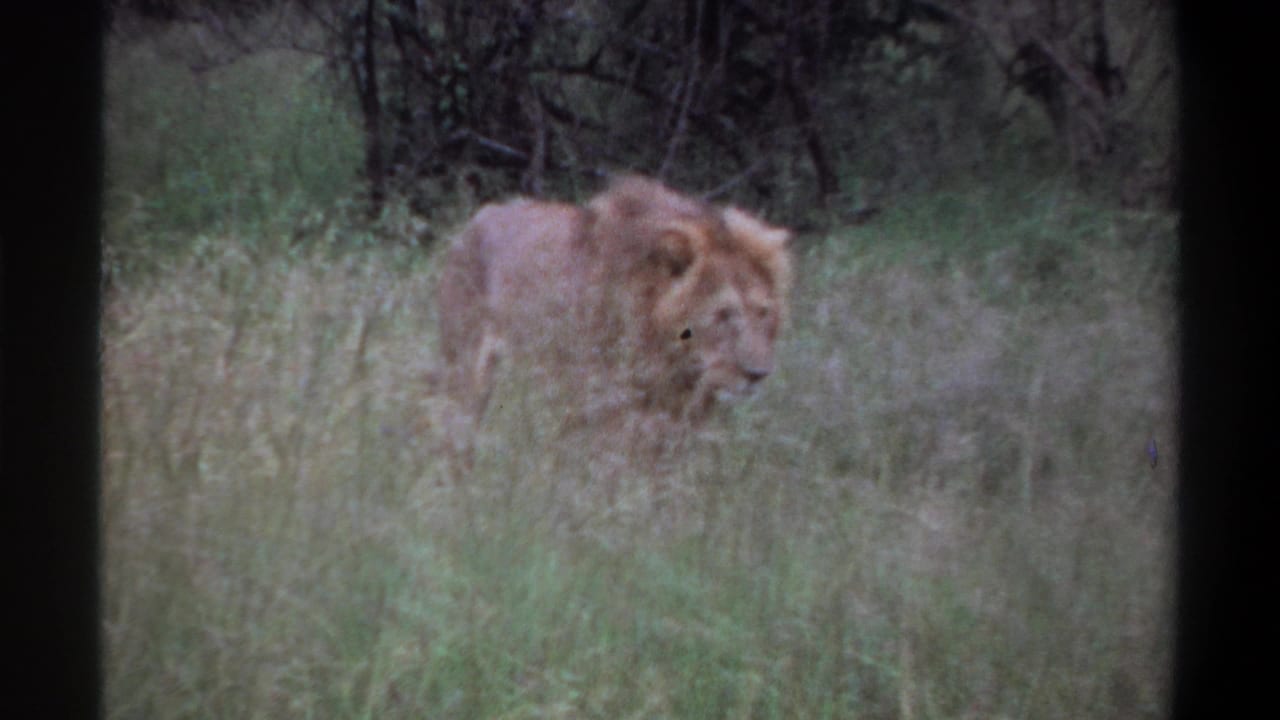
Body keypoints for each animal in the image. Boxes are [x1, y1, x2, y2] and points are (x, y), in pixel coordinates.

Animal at [436, 175, 791, 462]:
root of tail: (473, 222)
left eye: (763, 312)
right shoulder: (605, 413)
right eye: (724, 314)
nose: (757, 374)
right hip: (466, 377)